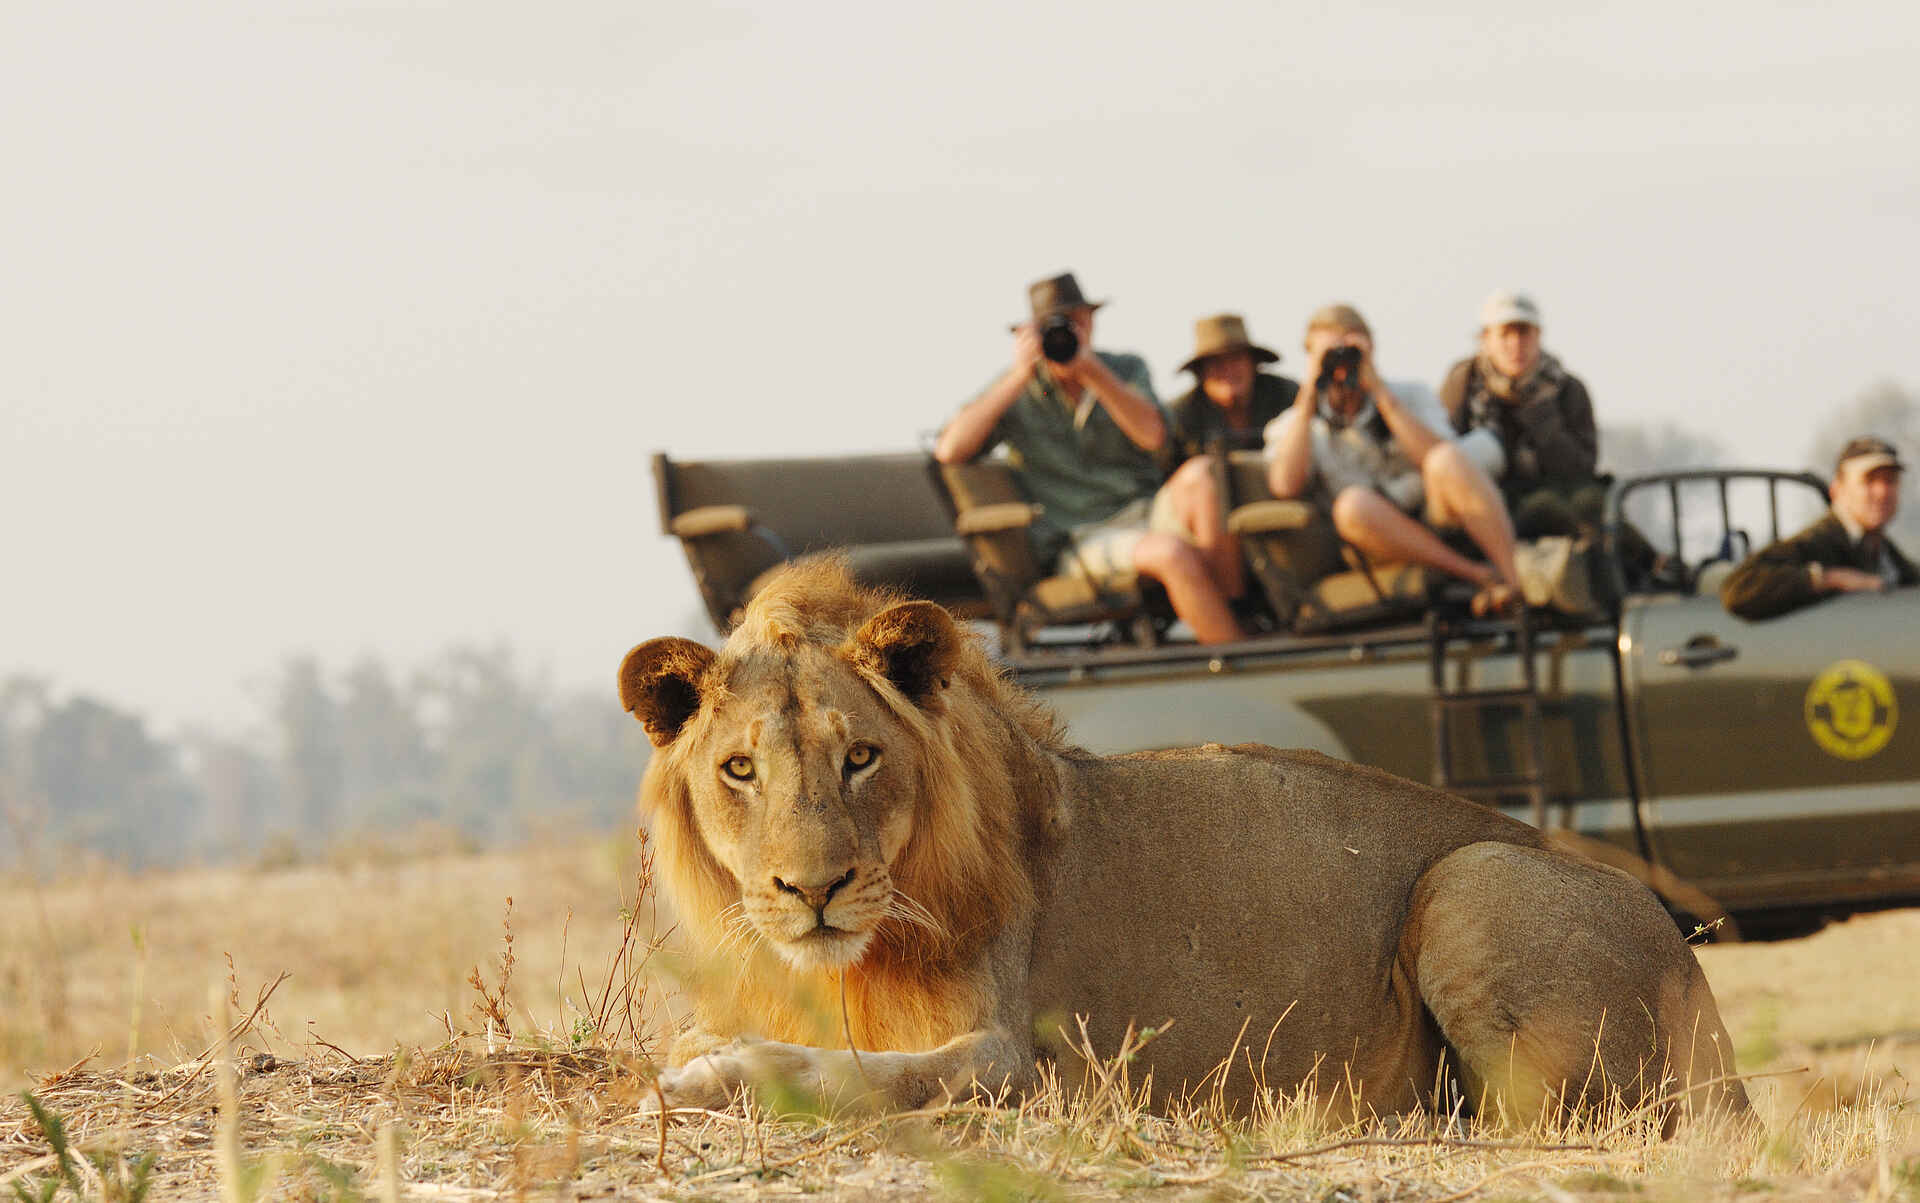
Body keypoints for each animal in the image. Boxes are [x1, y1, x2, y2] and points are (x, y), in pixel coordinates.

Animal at [618, 557, 1749, 1127]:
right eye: (739, 770)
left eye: (859, 756)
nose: (812, 889)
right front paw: (702, 1055)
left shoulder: (1018, 1056)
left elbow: (867, 1072)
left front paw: (718, 1078)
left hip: (1472, 876)